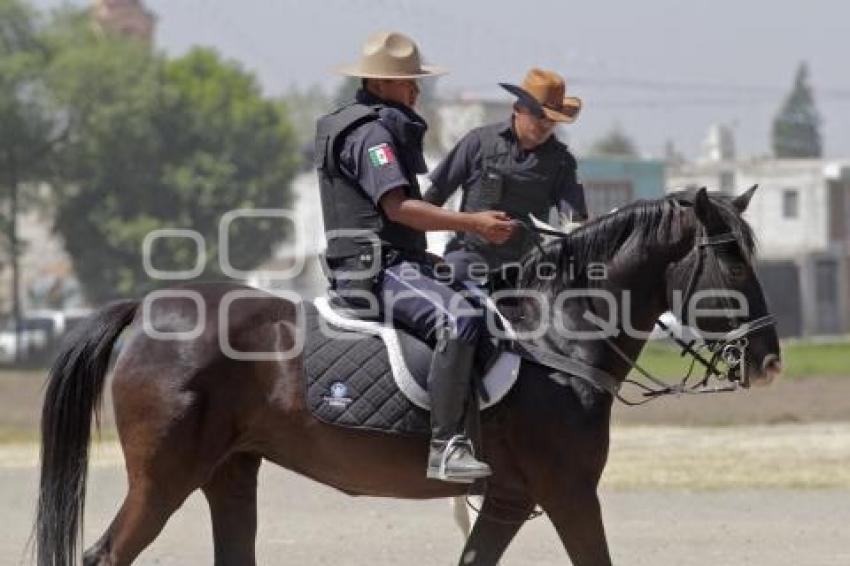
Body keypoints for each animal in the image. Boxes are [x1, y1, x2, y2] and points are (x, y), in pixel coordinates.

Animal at [38, 189, 780, 564]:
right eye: (733, 260)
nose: (770, 362)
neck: (556, 330)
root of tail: (149, 308)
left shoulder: (510, 499)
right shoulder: (568, 493)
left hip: (228, 473)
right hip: (163, 479)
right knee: (105, 555)